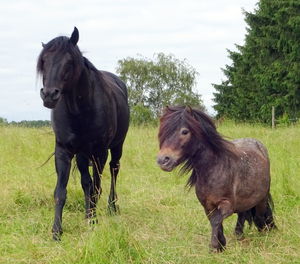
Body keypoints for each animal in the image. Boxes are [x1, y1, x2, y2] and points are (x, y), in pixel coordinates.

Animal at [36, 27, 129, 240]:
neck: (80, 109)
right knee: (86, 182)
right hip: (82, 154)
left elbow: (96, 188)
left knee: (114, 170)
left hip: (116, 147)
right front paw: (57, 231)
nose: (49, 95)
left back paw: (112, 207)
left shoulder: (100, 152)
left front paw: (93, 223)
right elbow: (61, 191)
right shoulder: (64, 151)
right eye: (44, 61)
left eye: (69, 61)